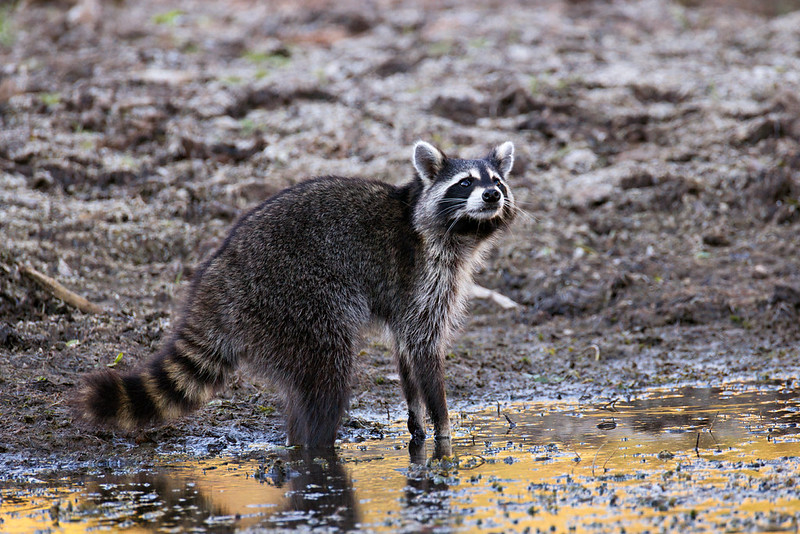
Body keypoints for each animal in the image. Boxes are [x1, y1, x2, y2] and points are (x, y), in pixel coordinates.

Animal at [79, 140, 516, 449]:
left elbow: (407, 351)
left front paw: (418, 421)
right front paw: (443, 426)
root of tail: (220, 275)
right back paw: (318, 445)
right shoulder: (422, 273)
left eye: (496, 182)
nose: (492, 196)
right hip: (296, 299)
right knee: (328, 374)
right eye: (466, 183)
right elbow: (423, 347)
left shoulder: (413, 294)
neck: (459, 231)